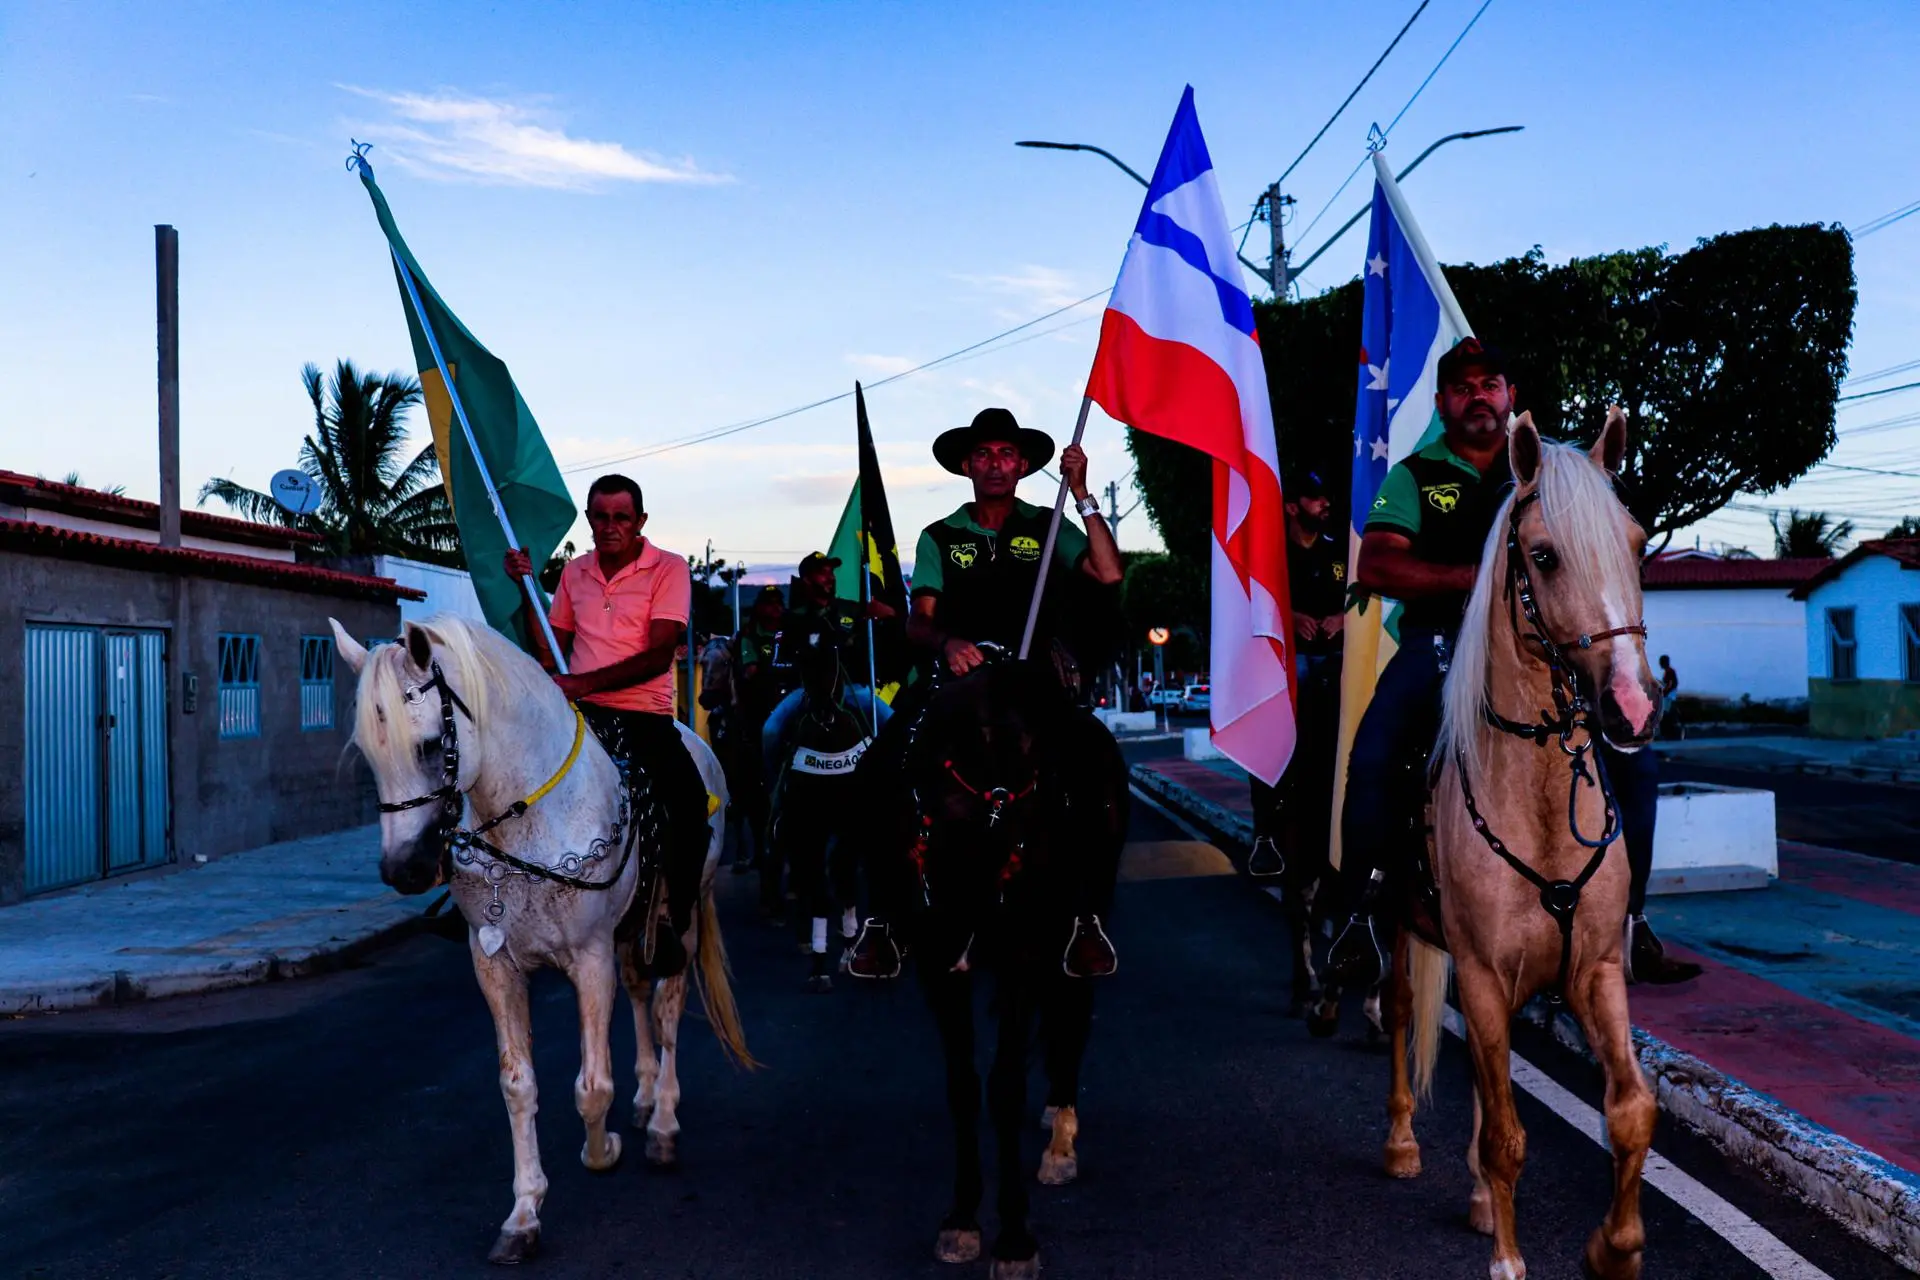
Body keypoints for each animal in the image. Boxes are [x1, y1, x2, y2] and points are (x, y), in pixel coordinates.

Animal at [328, 616, 754, 1265]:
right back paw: (645, 1098)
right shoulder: (495, 965)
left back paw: (662, 1124)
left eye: (427, 745)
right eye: (369, 752)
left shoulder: (590, 959)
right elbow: (517, 1084)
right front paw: (524, 1215)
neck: (530, 817)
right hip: (630, 929)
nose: (404, 870)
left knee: (668, 1005)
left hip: (680, 914)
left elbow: (591, 1086)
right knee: (640, 992)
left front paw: (600, 1152)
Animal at [763, 624, 886, 991]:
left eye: (833, 649)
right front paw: (819, 965)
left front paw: (848, 949)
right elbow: (818, 888)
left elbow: (844, 880)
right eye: (802, 654)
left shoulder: (851, 825)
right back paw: (805, 937)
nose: (821, 710)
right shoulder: (809, 825)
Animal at [888, 656, 1128, 1279]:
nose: (999, 899)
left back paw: (1061, 1140)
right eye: (925, 807)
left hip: (1078, 925)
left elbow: (1005, 1086)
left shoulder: (1026, 952)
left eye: (1044, 788)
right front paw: (962, 1219)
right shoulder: (939, 960)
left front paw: (1016, 1237)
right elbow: (964, 1086)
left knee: (1074, 1011)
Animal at [1385, 409, 1661, 1280]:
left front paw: (1615, 1246)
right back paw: (1401, 1143)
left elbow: (1632, 1109)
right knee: (1400, 1013)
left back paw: (1477, 1194)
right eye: (1542, 555)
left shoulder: (1594, 970)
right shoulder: (1475, 970)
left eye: (1636, 542)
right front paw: (1509, 1260)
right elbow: (1511, 1134)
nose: (1634, 707)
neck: (1537, 790)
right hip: (1398, 925)